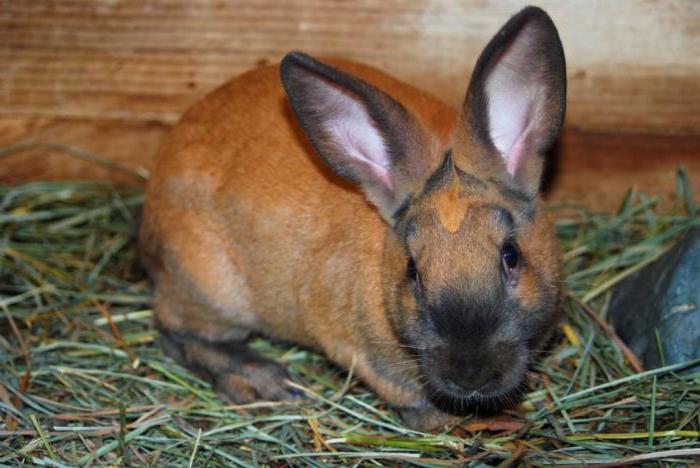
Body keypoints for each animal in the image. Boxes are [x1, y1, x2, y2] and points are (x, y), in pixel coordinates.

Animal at [138, 6, 565, 430]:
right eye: (413, 271)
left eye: (511, 256)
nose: (471, 374)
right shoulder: (354, 348)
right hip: (209, 288)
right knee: (178, 333)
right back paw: (263, 380)